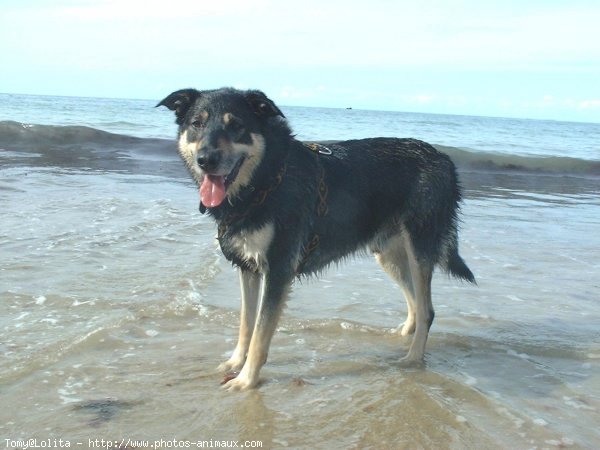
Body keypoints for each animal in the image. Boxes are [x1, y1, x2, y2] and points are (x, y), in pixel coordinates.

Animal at [157, 88, 476, 390]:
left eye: (235, 125)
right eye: (197, 124)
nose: (206, 160)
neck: (268, 178)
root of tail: (445, 160)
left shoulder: (278, 270)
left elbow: (260, 333)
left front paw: (246, 380)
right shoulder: (248, 268)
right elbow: (246, 324)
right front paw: (235, 362)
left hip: (420, 247)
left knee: (428, 310)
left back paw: (412, 358)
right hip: (388, 254)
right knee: (415, 302)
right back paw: (404, 336)